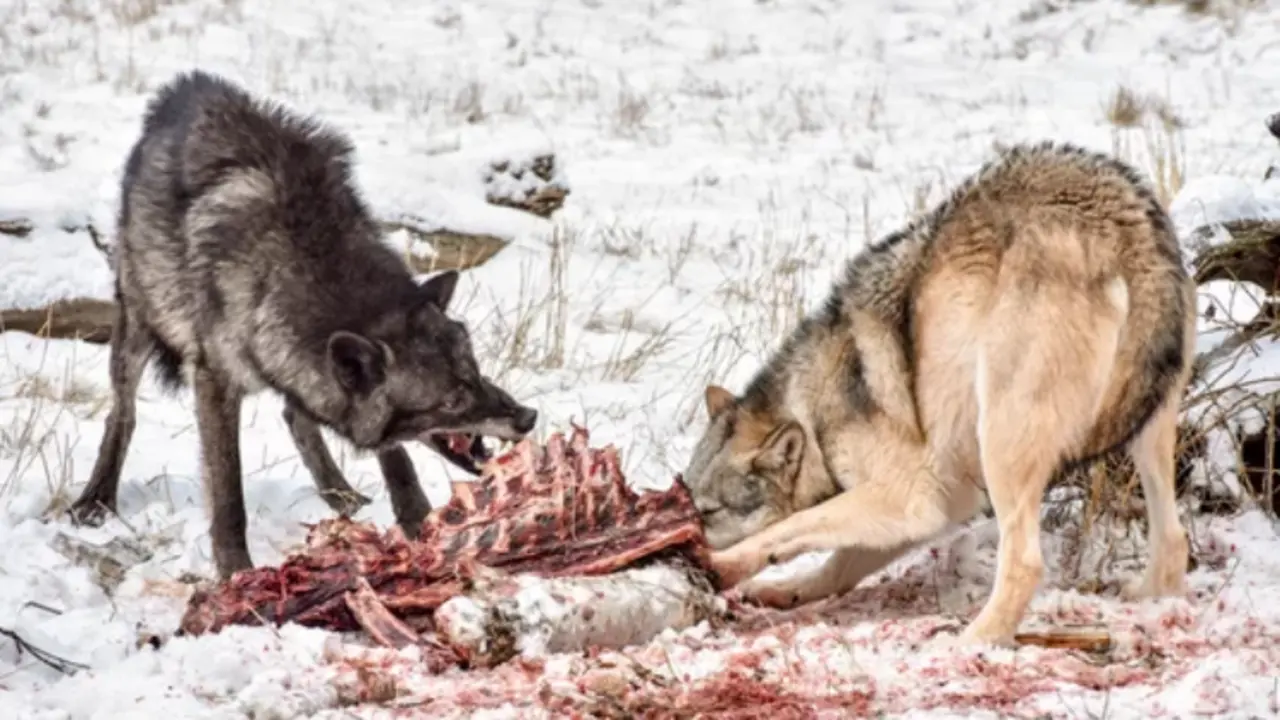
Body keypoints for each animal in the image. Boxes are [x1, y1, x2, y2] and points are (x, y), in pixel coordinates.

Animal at [66, 70, 538, 580]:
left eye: (476, 372)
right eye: (451, 400)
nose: (527, 418)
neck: (304, 260)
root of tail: (188, 85)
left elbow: (398, 459)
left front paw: (419, 522)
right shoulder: (214, 381)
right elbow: (228, 491)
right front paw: (236, 571)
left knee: (296, 416)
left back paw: (341, 495)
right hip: (137, 324)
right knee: (123, 412)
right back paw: (96, 499)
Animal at [682, 141, 1196, 648]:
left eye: (708, 512)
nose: (680, 552)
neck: (813, 410)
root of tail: (1125, 223)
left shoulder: (909, 496)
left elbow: (794, 528)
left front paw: (725, 565)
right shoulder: (939, 504)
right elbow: (837, 566)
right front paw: (782, 591)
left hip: (1003, 442)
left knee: (1025, 561)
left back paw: (975, 639)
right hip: (1147, 427)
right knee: (1174, 541)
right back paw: (1150, 598)